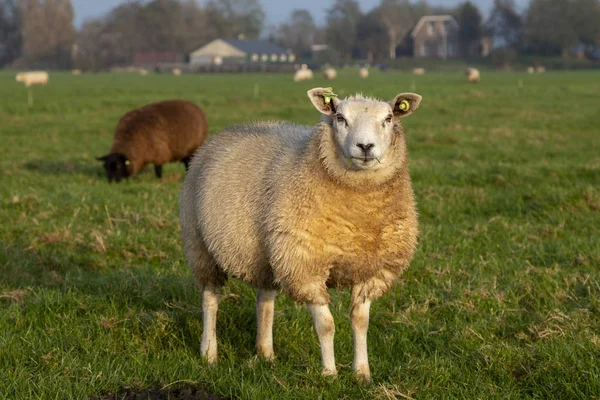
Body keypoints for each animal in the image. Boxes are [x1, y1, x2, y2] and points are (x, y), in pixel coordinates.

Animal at [182, 86, 422, 382]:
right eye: (340, 118)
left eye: (388, 118)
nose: (365, 147)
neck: (359, 216)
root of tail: (230, 129)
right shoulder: (305, 265)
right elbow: (326, 325)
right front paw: (329, 374)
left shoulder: (372, 270)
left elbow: (361, 322)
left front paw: (362, 373)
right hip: (200, 245)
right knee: (210, 299)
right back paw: (209, 353)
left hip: (268, 255)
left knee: (265, 299)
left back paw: (266, 353)